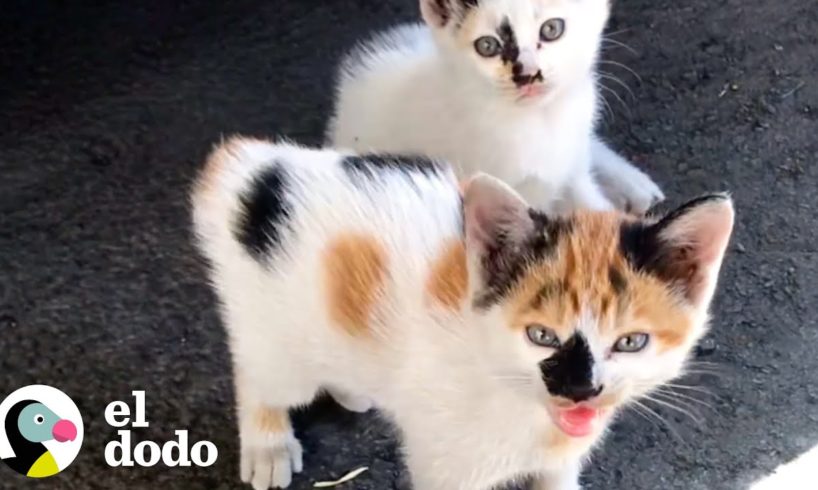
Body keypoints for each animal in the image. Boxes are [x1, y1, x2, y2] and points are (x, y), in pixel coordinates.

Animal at [190, 137, 732, 490]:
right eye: (541, 335)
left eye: (631, 342)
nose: (580, 389)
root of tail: (247, 164)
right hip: (277, 336)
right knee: (260, 373)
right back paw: (268, 443)